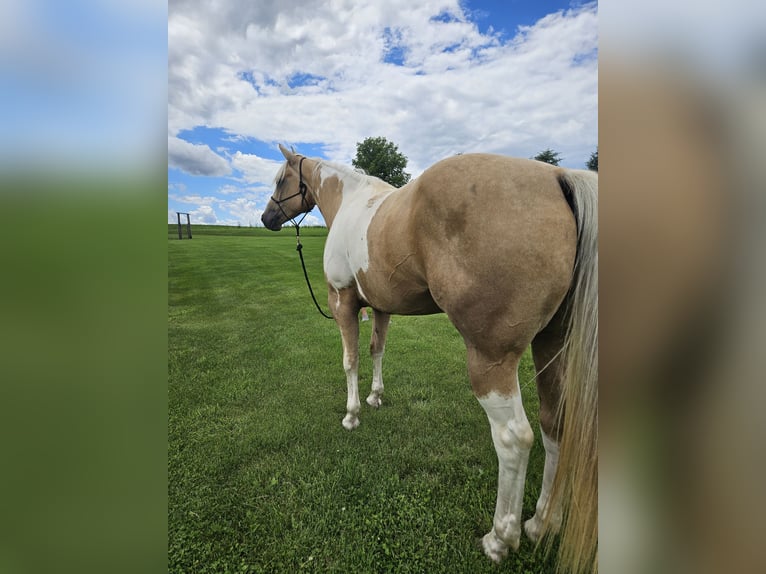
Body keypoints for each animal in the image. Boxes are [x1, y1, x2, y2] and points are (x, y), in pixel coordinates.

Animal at [261, 144, 598, 573]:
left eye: (280, 180)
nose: (266, 218)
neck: (351, 202)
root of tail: (558, 178)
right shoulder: (381, 307)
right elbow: (377, 351)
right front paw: (376, 396)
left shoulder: (343, 302)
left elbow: (350, 359)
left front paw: (353, 414)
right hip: (553, 346)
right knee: (555, 423)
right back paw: (541, 524)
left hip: (491, 359)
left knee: (513, 438)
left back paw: (500, 538)